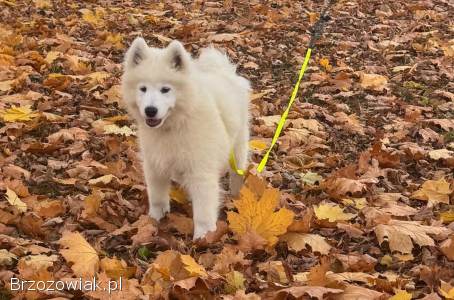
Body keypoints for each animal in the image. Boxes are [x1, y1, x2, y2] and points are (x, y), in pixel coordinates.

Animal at [120, 37, 250, 239]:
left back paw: (237, 196)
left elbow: (204, 210)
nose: (150, 110)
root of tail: (224, 72)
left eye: (165, 89)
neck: (172, 127)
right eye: (143, 89)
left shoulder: (201, 171)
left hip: (238, 147)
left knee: (237, 173)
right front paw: (154, 219)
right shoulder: (155, 165)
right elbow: (157, 197)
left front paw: (204, 237)